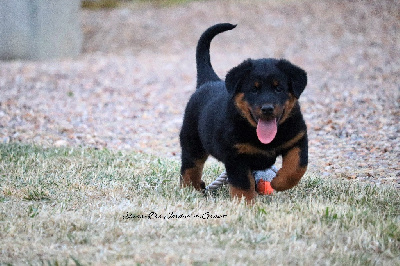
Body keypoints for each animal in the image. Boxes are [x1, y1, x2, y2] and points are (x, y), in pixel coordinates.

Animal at [180, 23, 308, 203]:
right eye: (254, 90)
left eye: (278, 88)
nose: (267, 108)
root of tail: (209, 81)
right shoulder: (236, 156)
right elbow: (243, 185)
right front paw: (245, 204)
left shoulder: (298, 138)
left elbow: (297, 166)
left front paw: (279, 182)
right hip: (192, 142)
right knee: (190, 168)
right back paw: (190, 190)